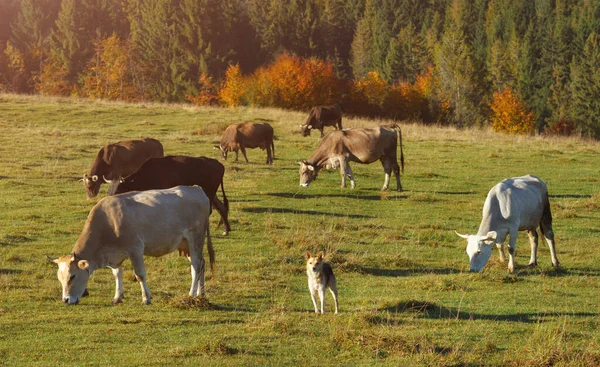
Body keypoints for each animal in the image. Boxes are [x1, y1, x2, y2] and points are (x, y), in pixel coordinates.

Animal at [48, 187, 214, 304]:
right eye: (60, 279)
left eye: (72, 276)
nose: (66, 300)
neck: (109, 221)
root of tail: (196, 188)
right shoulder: (114, 257)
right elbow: (117, 274)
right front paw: (117, 297)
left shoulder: (136, 249)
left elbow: (140, 275)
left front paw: (146, 298)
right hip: (186, 245)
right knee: (202, 264)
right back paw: (201, 294)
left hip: (195, 239)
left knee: (196, 266)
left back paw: (191, 294)